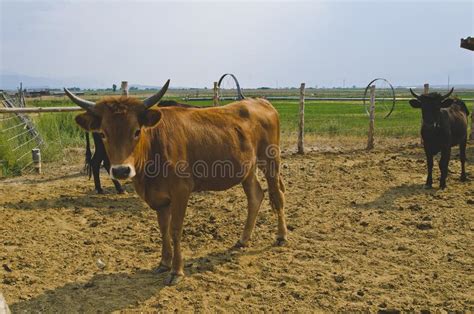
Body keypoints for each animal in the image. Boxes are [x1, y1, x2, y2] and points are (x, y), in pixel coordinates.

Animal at [65, 80, 286, 284]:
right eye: (103, 133)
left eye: (136, 131)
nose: (121, 170)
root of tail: (260, 101)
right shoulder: (159, 198)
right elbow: (163, 228)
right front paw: (164, 263)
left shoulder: (181, 191)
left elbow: (175, 229)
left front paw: (176, 271)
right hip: (247, 168)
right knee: (255, 196)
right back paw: (243, 239)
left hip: (270, 160)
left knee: (277, 195)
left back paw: (281, 236)